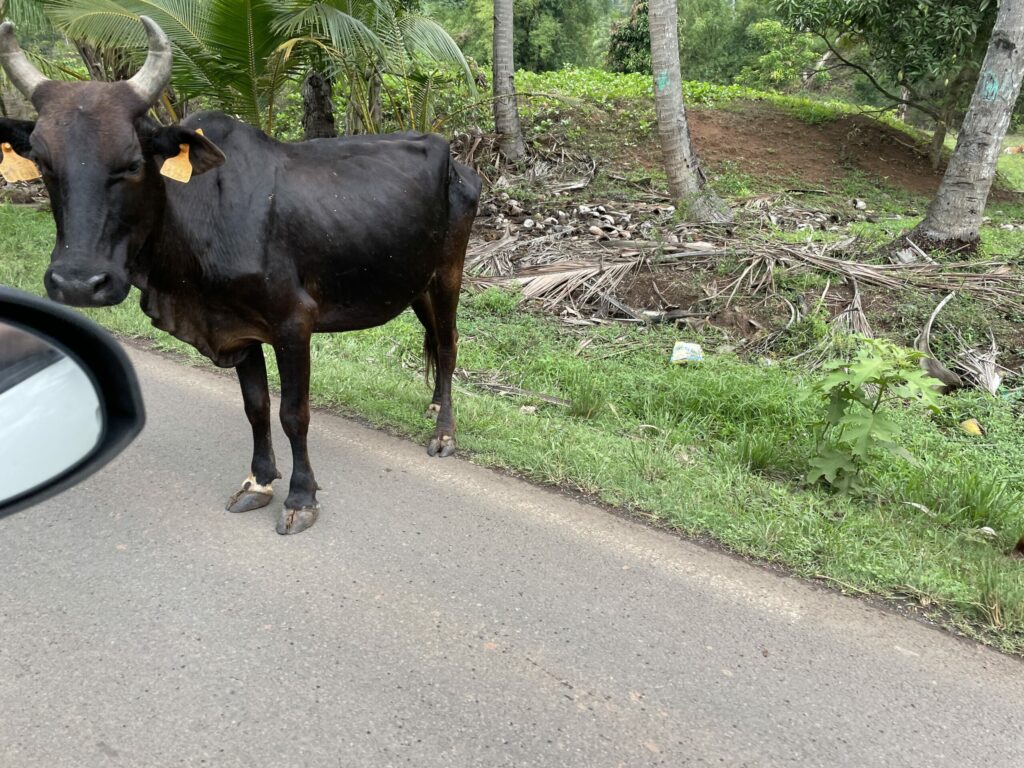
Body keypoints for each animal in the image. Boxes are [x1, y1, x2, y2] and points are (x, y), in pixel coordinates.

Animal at [0, 17, 481, 535]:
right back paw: (434, 405)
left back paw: (444, 433)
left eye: (132, 163)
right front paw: (259, 481)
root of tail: (455, 157)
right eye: (43, 163)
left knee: (449, 343)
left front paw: (300, 497)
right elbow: (256, 407)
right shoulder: (235, 327)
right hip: (414, 281)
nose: (77, 283)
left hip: (448, 273)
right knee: (434, 338)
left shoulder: (294, 323)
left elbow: (293, 413)